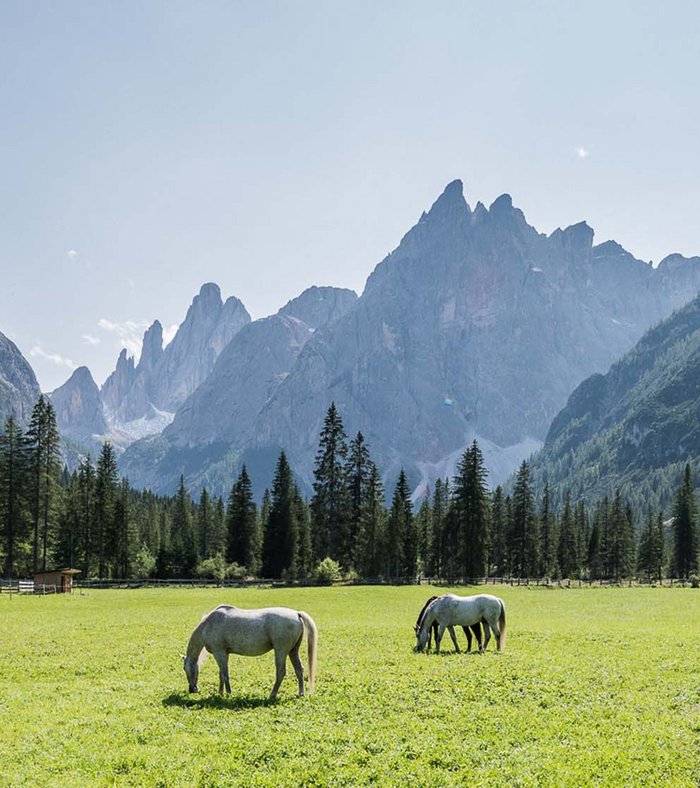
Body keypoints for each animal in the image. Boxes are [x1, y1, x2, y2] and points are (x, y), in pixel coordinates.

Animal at [182, 604, 318, 700]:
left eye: (185, 669)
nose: (192, 689)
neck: (208, 624)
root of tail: (296, 613)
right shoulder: (224, 654)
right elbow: (221, 674)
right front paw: (220, 693)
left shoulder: (219, 653)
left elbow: (225, 675)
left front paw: (229, 694)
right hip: (293, 651)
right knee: (299, 670)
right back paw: (301, 694)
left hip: (281, 651)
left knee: (281, 672)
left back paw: (272, 695)